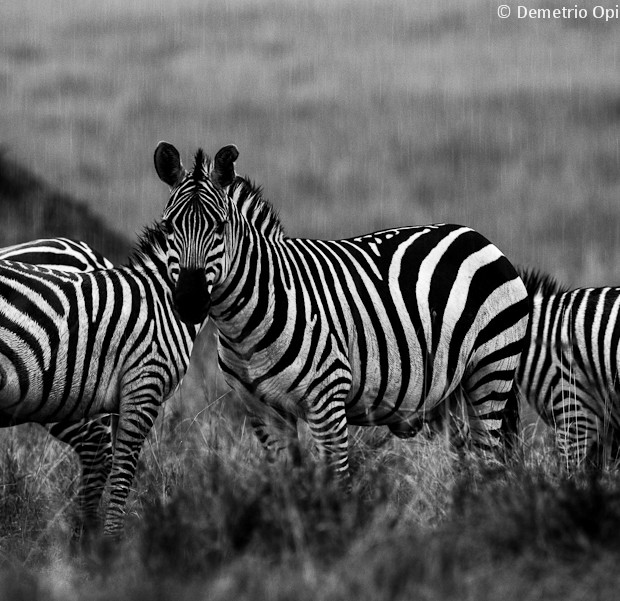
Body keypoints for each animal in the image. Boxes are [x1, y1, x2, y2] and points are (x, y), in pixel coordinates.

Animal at [154, 142, 528, 482]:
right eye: (168, 228)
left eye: (219, 227)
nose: (188, 300)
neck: (246, 323)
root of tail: (474, 235)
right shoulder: (262, 411)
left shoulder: (328, 398)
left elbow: (338, 482)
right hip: (455, 389)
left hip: (491, 371)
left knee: (486, 461)